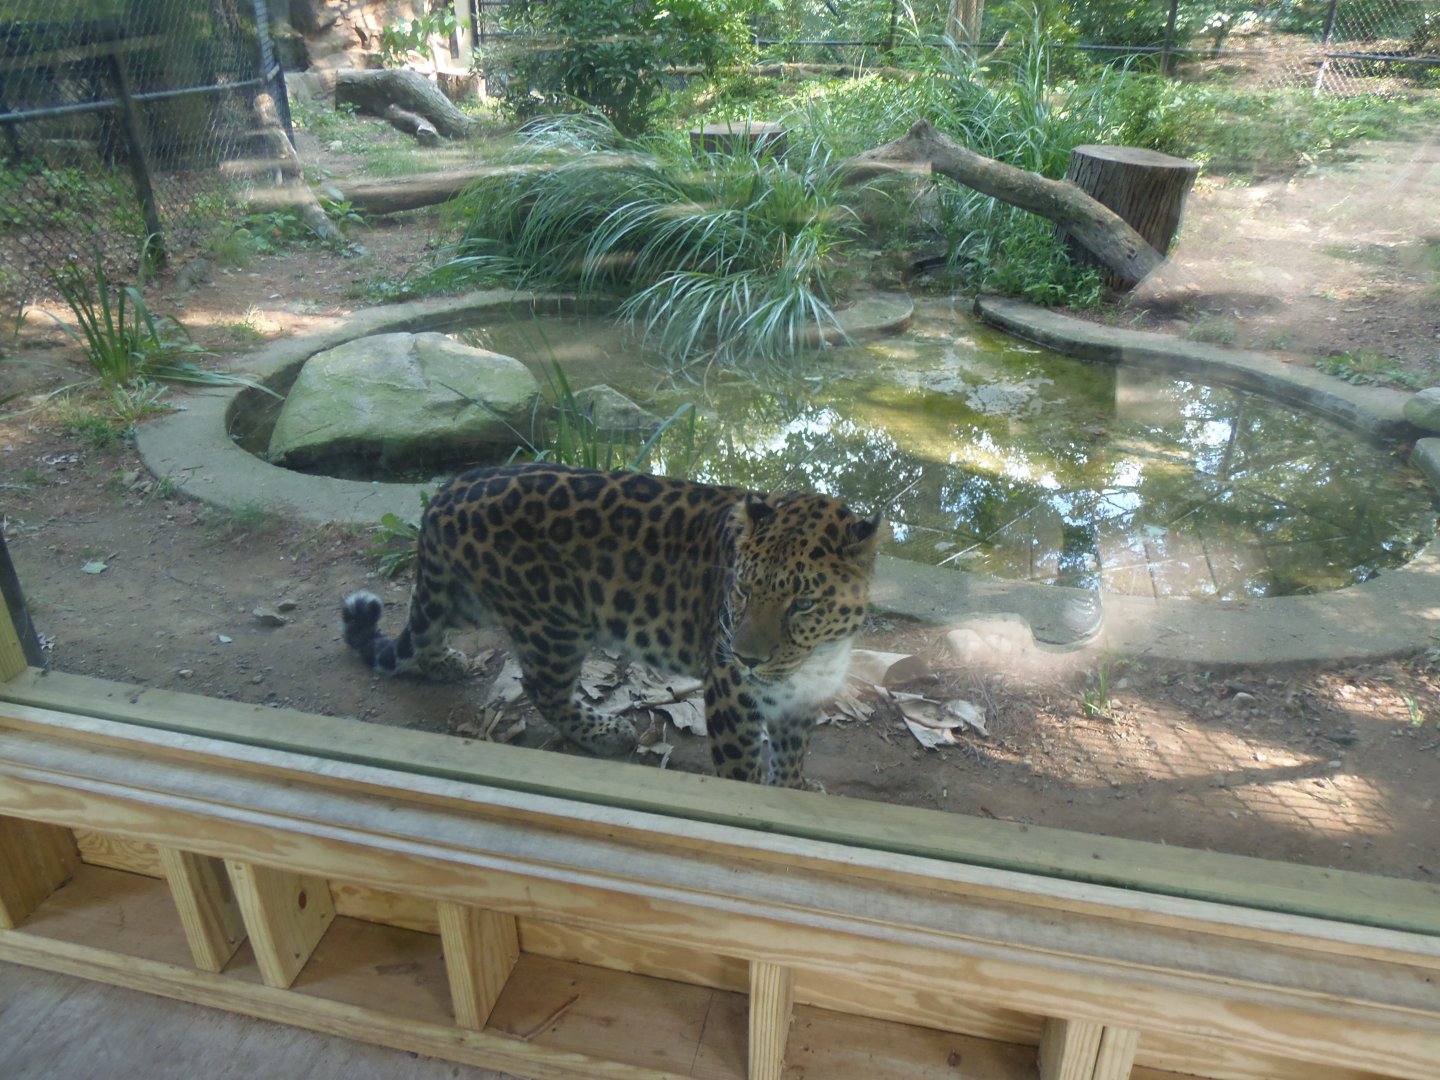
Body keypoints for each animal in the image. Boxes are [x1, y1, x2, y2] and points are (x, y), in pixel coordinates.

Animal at [342, 462, 883, 786]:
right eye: (744, 590)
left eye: (803, 603)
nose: (747, 657)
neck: (815, 656)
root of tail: (448, 489)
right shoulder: (731, 692)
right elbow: (741, 767)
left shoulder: (801, 697)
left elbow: (792, 754)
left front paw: (790, 788)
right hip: (554, 620)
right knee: (544, 687)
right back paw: (604, 730)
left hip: (465, 594)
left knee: (426, 622)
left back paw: (442, 661)